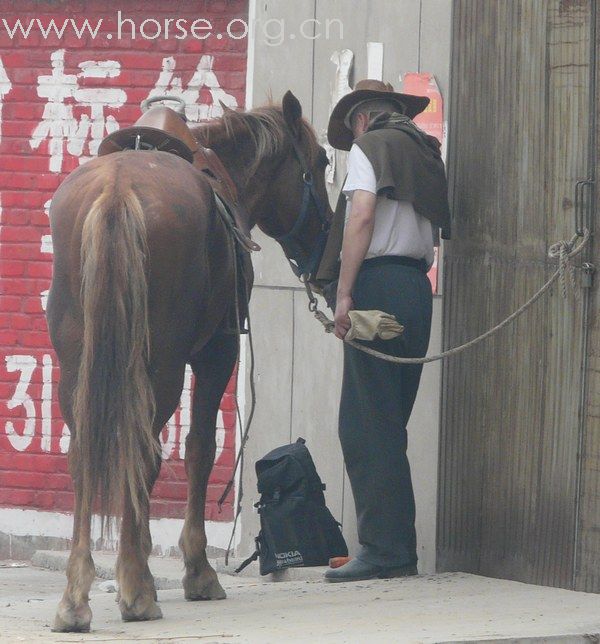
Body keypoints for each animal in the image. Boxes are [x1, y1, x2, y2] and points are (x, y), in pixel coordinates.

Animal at [48, 89, 332, 628]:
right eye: (323, 162)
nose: (330, 250)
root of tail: (117, 192)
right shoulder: (216, 351)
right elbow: (199, 448)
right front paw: (196, 570)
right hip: (162, 360)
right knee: (141, 448)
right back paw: (137, 591)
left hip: (77, 361)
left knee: (84, 454)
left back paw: (75, 597)